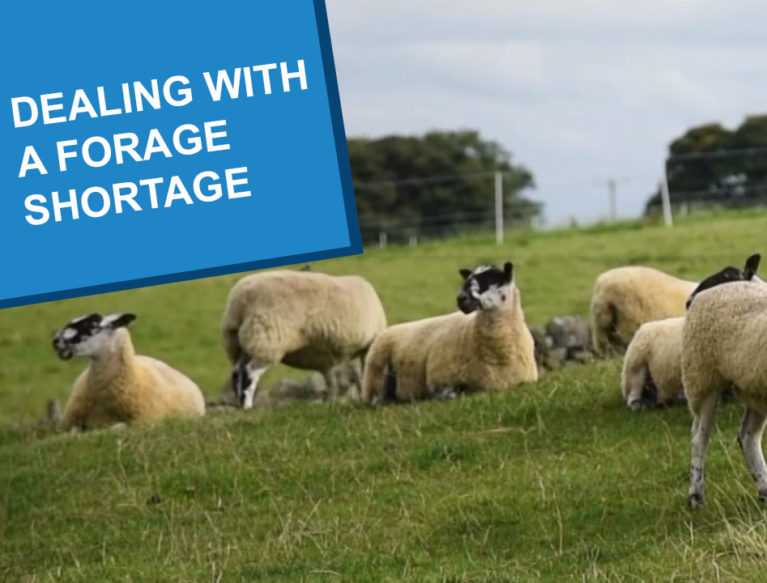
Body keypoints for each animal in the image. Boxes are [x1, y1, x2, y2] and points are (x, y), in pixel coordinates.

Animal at [52, 312, 206, 432]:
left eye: (90, 326)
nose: (55, 341)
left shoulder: (141, 423)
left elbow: (116, 427)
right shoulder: (70, 422)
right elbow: (75, 431)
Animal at [222, 268, 390, 408]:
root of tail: (238, 303)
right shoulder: (367, 346)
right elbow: (362, 375)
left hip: (242, 342)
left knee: (237, 371)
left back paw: (239, 402)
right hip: (266, 341)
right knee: (250, 372)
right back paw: (247, 405)